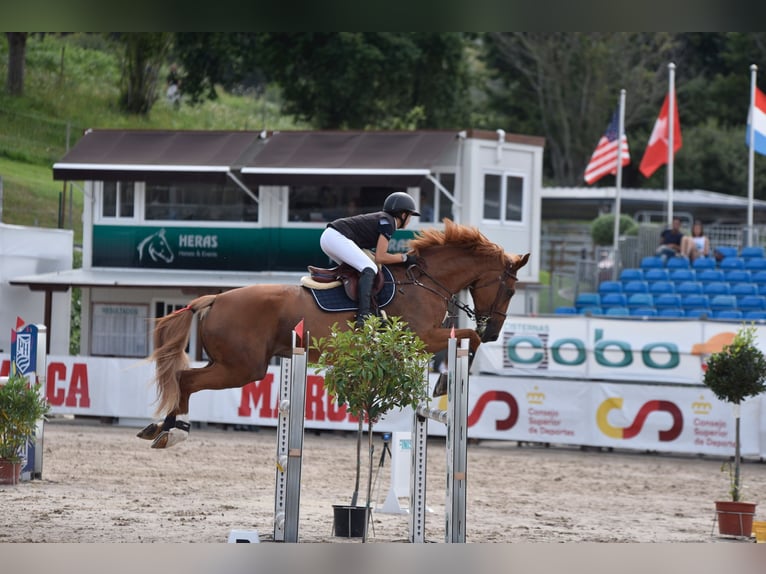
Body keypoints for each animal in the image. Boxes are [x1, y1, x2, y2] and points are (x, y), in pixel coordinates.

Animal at [138, 220, 532, 450]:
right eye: (511, 290)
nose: (494, 331)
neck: (425, 282)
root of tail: (214, 297)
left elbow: (465, 338)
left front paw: (445, 380)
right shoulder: (423, 336)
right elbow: (468, 337)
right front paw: (443, 384)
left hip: (233, 364)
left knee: (183, 378)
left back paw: (160, 427)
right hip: (242, 368)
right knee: (186, 380)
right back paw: (174, 430)